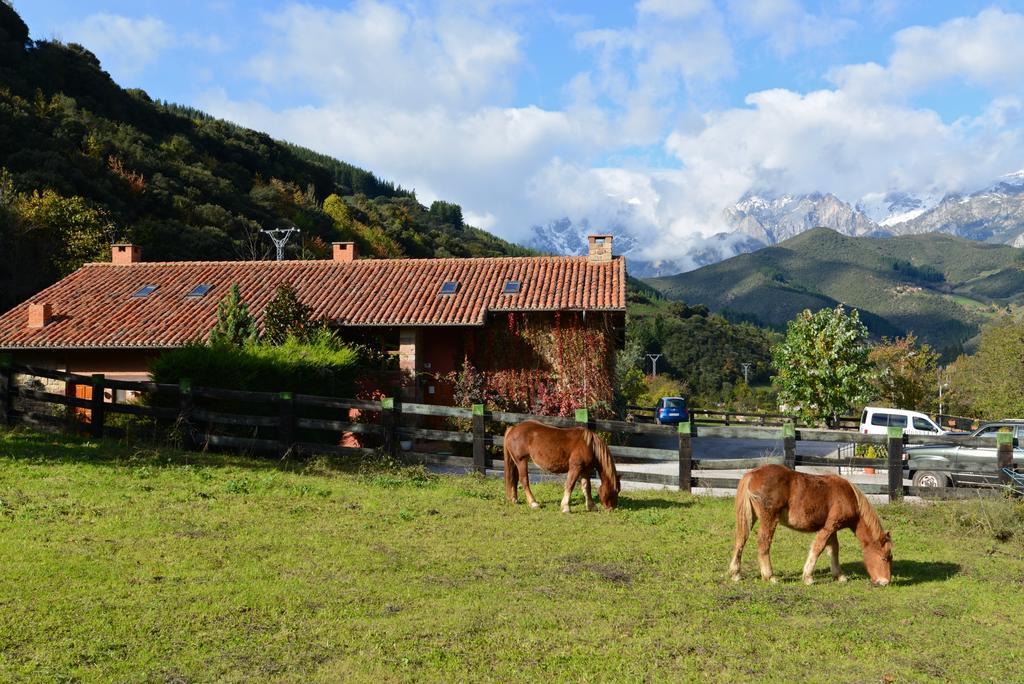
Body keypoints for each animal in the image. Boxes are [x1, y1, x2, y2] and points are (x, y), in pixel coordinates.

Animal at [729, 462, 888, 585]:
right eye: (885, 557)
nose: (885, 582)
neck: (849, 496)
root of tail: (752, 474)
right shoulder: (829, 527)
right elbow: (818, 548)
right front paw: (808, 577)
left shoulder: (832, 529)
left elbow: (834, 549)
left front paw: (839, 575)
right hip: (769, 519)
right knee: (763, 543)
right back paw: (770, 576)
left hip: (750, 517)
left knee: (740, 540)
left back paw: (736, 574)